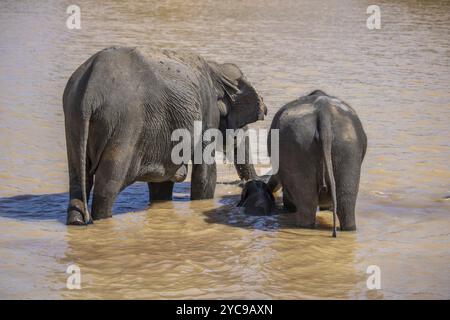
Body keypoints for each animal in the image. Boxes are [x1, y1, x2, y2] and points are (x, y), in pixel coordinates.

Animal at [63, 47, 268, 225]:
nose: (247, 184)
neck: (216, 68)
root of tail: (90, 89)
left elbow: (162, 180)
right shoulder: (207, 110)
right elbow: (205, 172)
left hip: (73, 117)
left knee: (78, 177)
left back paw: (76, 222)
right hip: (125, 122)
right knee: (108, 183)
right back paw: (102, 220)